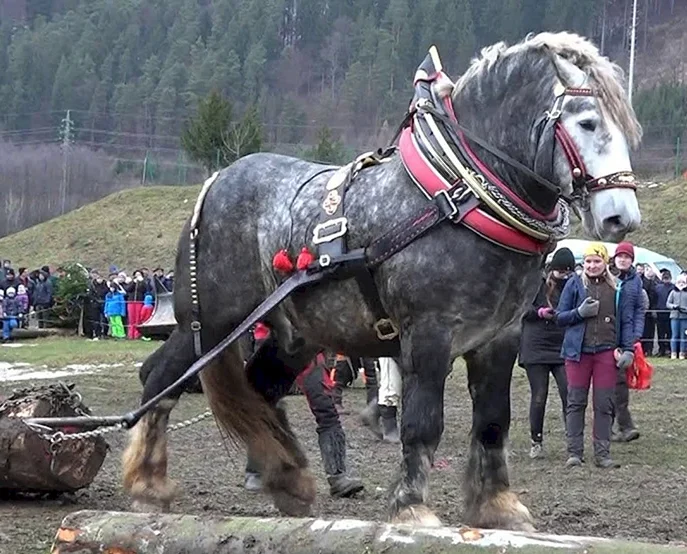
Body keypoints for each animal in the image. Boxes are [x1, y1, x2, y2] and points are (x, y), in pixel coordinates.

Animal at [123, 31, 644, 532]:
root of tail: (215, 181)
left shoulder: (499, 338)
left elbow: (494, 422)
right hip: (213, 322)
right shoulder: (430, 334)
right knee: (160, 379)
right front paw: (412, 508)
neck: (460, 193)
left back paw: (286, 479)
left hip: (296, 334)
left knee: (261, 389)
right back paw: (149, 484)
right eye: (587, 123)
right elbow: (423, 423)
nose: (621, 217)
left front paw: (497, 507)